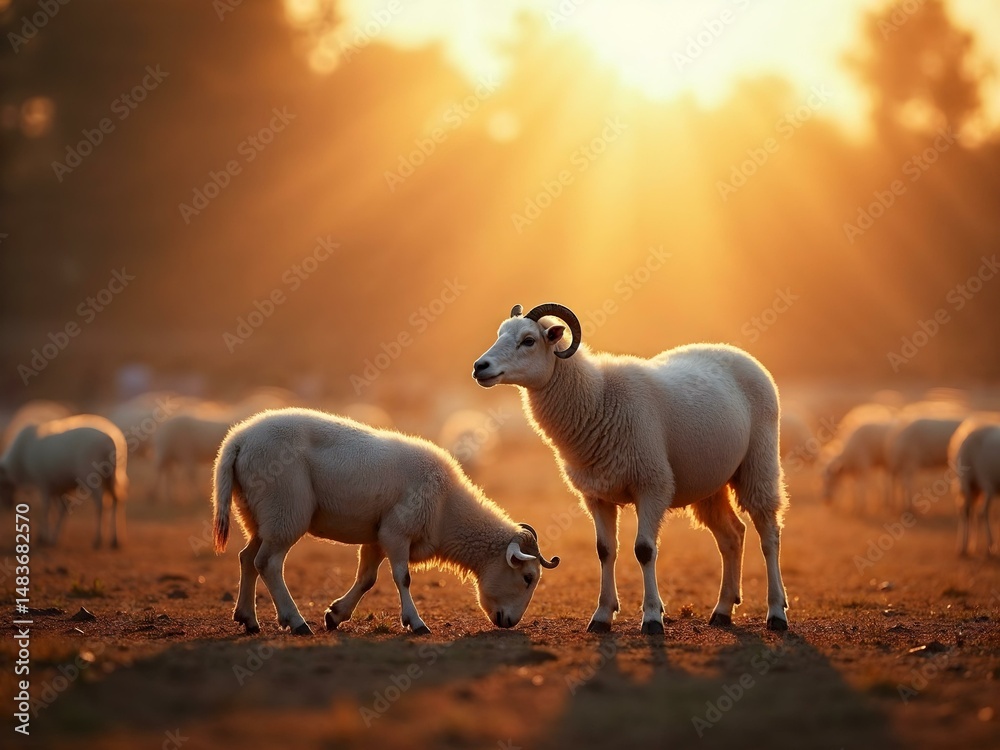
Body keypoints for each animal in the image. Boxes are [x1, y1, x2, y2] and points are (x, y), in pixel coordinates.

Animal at [0, 415, 127, 547]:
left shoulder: (44, 484)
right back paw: (116, 540)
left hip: (93, 477)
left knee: (102, 503)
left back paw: (98, 540)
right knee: (117, 500)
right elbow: (61, 510)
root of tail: (109, 441)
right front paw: (54, 537)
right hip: (113, 476)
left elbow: (46, 509)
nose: (8, 504)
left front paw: (44, 537)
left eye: (2, 483)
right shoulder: (58, 487)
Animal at [212, 408, 560, 635]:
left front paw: (336, 615)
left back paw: (248, 619)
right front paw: (416, 623)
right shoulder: (397, 530)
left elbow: (367, 578)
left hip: (258, 514)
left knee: (247, 558)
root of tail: (237, 441)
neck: (447, 508)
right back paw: (295, 621)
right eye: (528, 577)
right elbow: (402, 578)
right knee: (268, 563)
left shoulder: (378, 535)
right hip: (285, 509)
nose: (510, 623)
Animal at [472, 303, 789, 633]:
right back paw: (723, 610)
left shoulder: (652, 485)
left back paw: (776, 612)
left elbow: (644, 550)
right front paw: (602, 615)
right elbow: (604, 550)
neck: (598, 399)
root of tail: (741, 354)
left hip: (759, 463)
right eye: (500, 333)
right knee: (732, 536)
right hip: (709, 484)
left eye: (529, 340)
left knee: (769, 534)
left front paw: (652, 617)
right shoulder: (596, 495)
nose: (480, 367)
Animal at [949, 418, 1000, 556]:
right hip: (971, 481)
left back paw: (973, 546)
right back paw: (967, 548)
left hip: (977, 488)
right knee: (971, 511)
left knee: (974, 512)